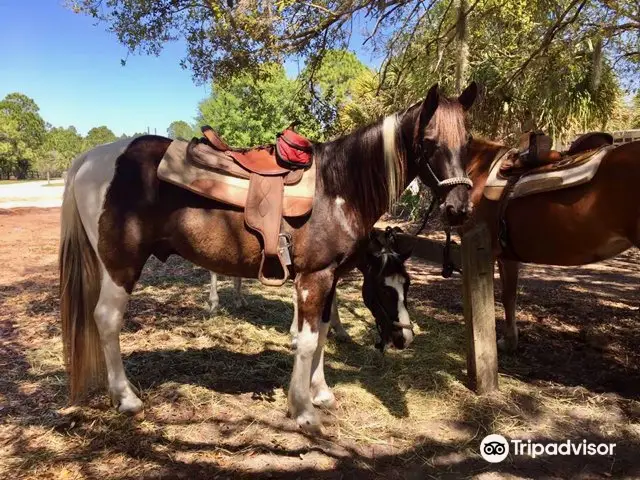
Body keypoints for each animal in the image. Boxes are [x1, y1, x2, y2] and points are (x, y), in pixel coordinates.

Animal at [60, 81, 478, 432]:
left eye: (468, 142)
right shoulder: (314, 278)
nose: (459, 208)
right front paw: (303, 410)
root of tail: (91, 159)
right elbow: (307, 341)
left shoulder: (328, 278)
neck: (339, 189)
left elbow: (322, 333)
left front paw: (321, 393)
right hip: (121, 265)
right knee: (107, 319)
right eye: (429, 142)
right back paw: (126, 398)